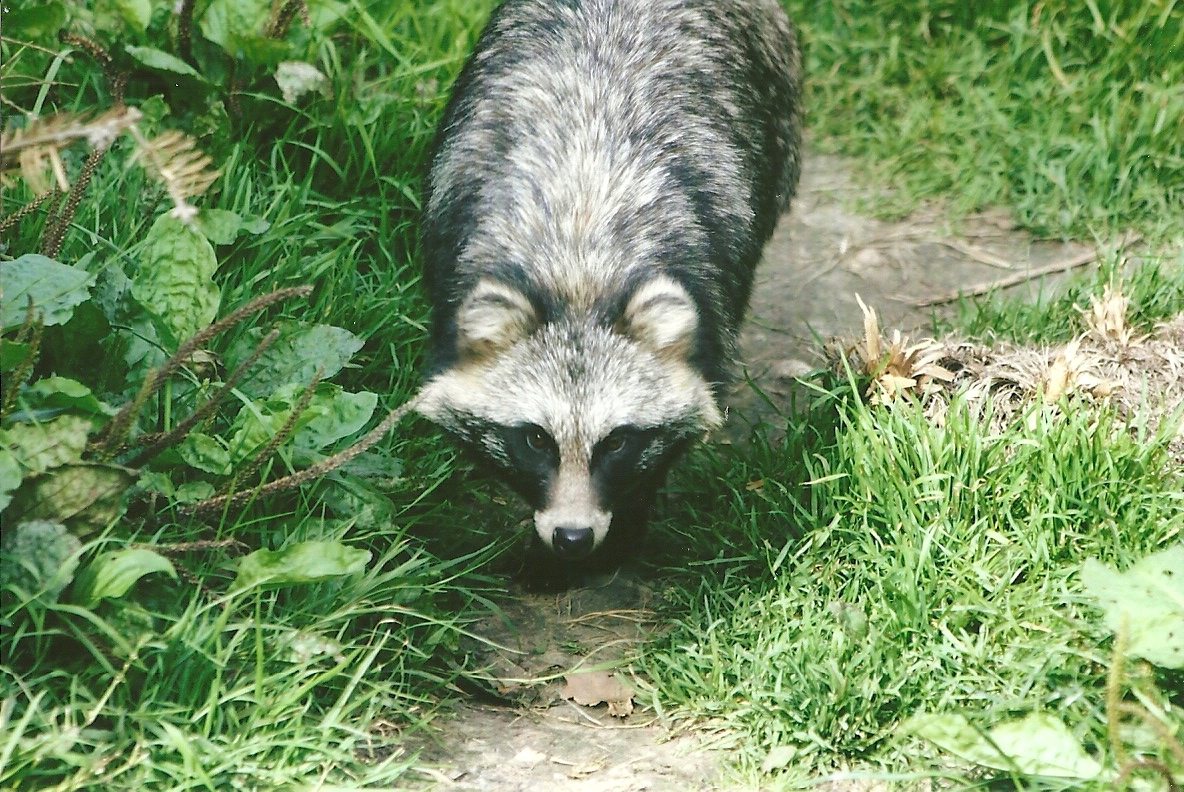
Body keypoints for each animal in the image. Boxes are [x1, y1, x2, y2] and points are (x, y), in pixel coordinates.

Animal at [416, 0, 803, 568]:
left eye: (616, 442)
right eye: (536, 439)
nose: (572, 538)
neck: (581, 266)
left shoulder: (713, 286)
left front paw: (626, 525)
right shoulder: (452, 244)